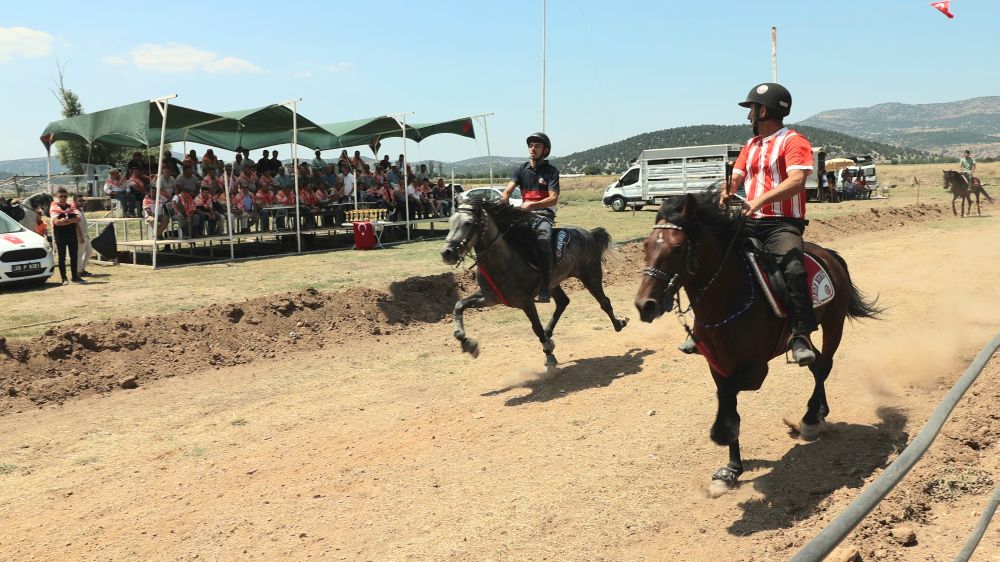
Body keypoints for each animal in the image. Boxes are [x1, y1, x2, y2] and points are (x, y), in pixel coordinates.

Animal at [440, 197, 624, 368]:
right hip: (553, 283)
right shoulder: (489, 298)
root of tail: (589, 233)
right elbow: (459, 305)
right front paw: (467, 343)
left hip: (591, 276)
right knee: (563, 302)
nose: (447, 253)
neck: (503, 261)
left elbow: (536, 328)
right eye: (450, 221)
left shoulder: (526, 302)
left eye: (468, 223)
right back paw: (549, 335)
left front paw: (549, 355)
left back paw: (618, 324)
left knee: (604, 302)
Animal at [636, 195, 880, 492]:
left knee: (824, 365)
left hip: (834, 323)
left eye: (677, 248)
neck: (730, 297)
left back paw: (811, 419)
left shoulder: (755, 370)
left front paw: (722, 432)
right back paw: (820, 410)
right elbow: (727, 398)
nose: (645, 305)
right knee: (815, 362)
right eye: (646, 246)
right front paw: (731, 469)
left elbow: (727, 395)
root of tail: (829, 255)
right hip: (805, 335)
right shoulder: (718, 365)